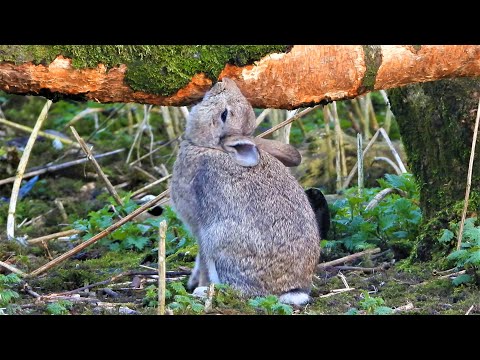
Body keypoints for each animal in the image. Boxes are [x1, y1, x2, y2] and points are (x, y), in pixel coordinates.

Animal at [171, 77, 320, 306]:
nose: (222, 81)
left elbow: (202, 259)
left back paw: (204, 293)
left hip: (220, 242)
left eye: (224, 114)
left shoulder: (199, 228)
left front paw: (198, 285)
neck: (209, 147)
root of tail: (290, 290)